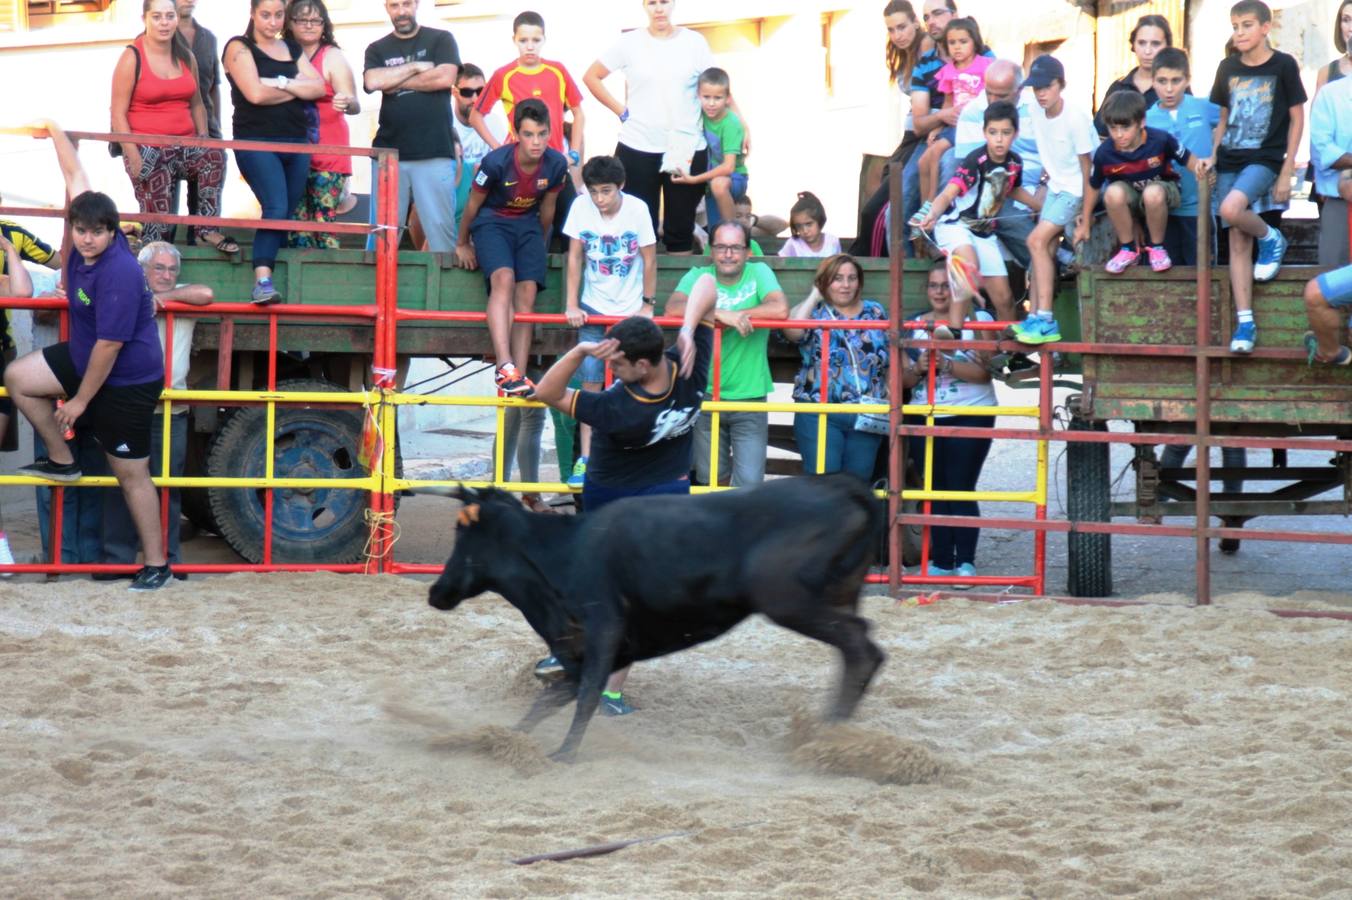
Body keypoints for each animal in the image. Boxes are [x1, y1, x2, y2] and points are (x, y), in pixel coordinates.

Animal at [424, 472, 886, 762]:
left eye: (463, 531)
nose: (437, 591)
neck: (562, 554)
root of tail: (838, 484)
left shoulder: (604, 633)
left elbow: (586, 696)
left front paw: (565, 754)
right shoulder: (580, 653)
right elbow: (546, 702)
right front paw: (498, 739)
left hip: (790, 601)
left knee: (862, 646)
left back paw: (828, 734)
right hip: (834, 597)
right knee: (858, 651)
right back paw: (832, 731)